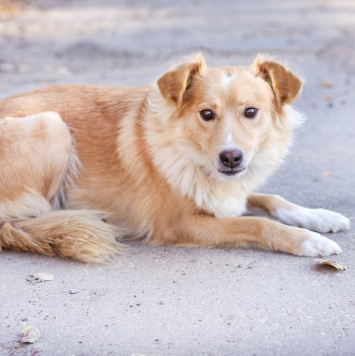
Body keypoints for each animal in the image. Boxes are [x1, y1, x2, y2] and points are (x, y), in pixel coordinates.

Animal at [0, 54, 350, 262]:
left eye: (251, 112)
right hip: (53, 125)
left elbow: (271, 199)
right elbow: (255, 224)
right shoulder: (180, 224)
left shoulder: (227, 193)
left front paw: (320, 217)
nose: (231, 158)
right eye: (207, 114)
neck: (190, 152)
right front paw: (308, 240)